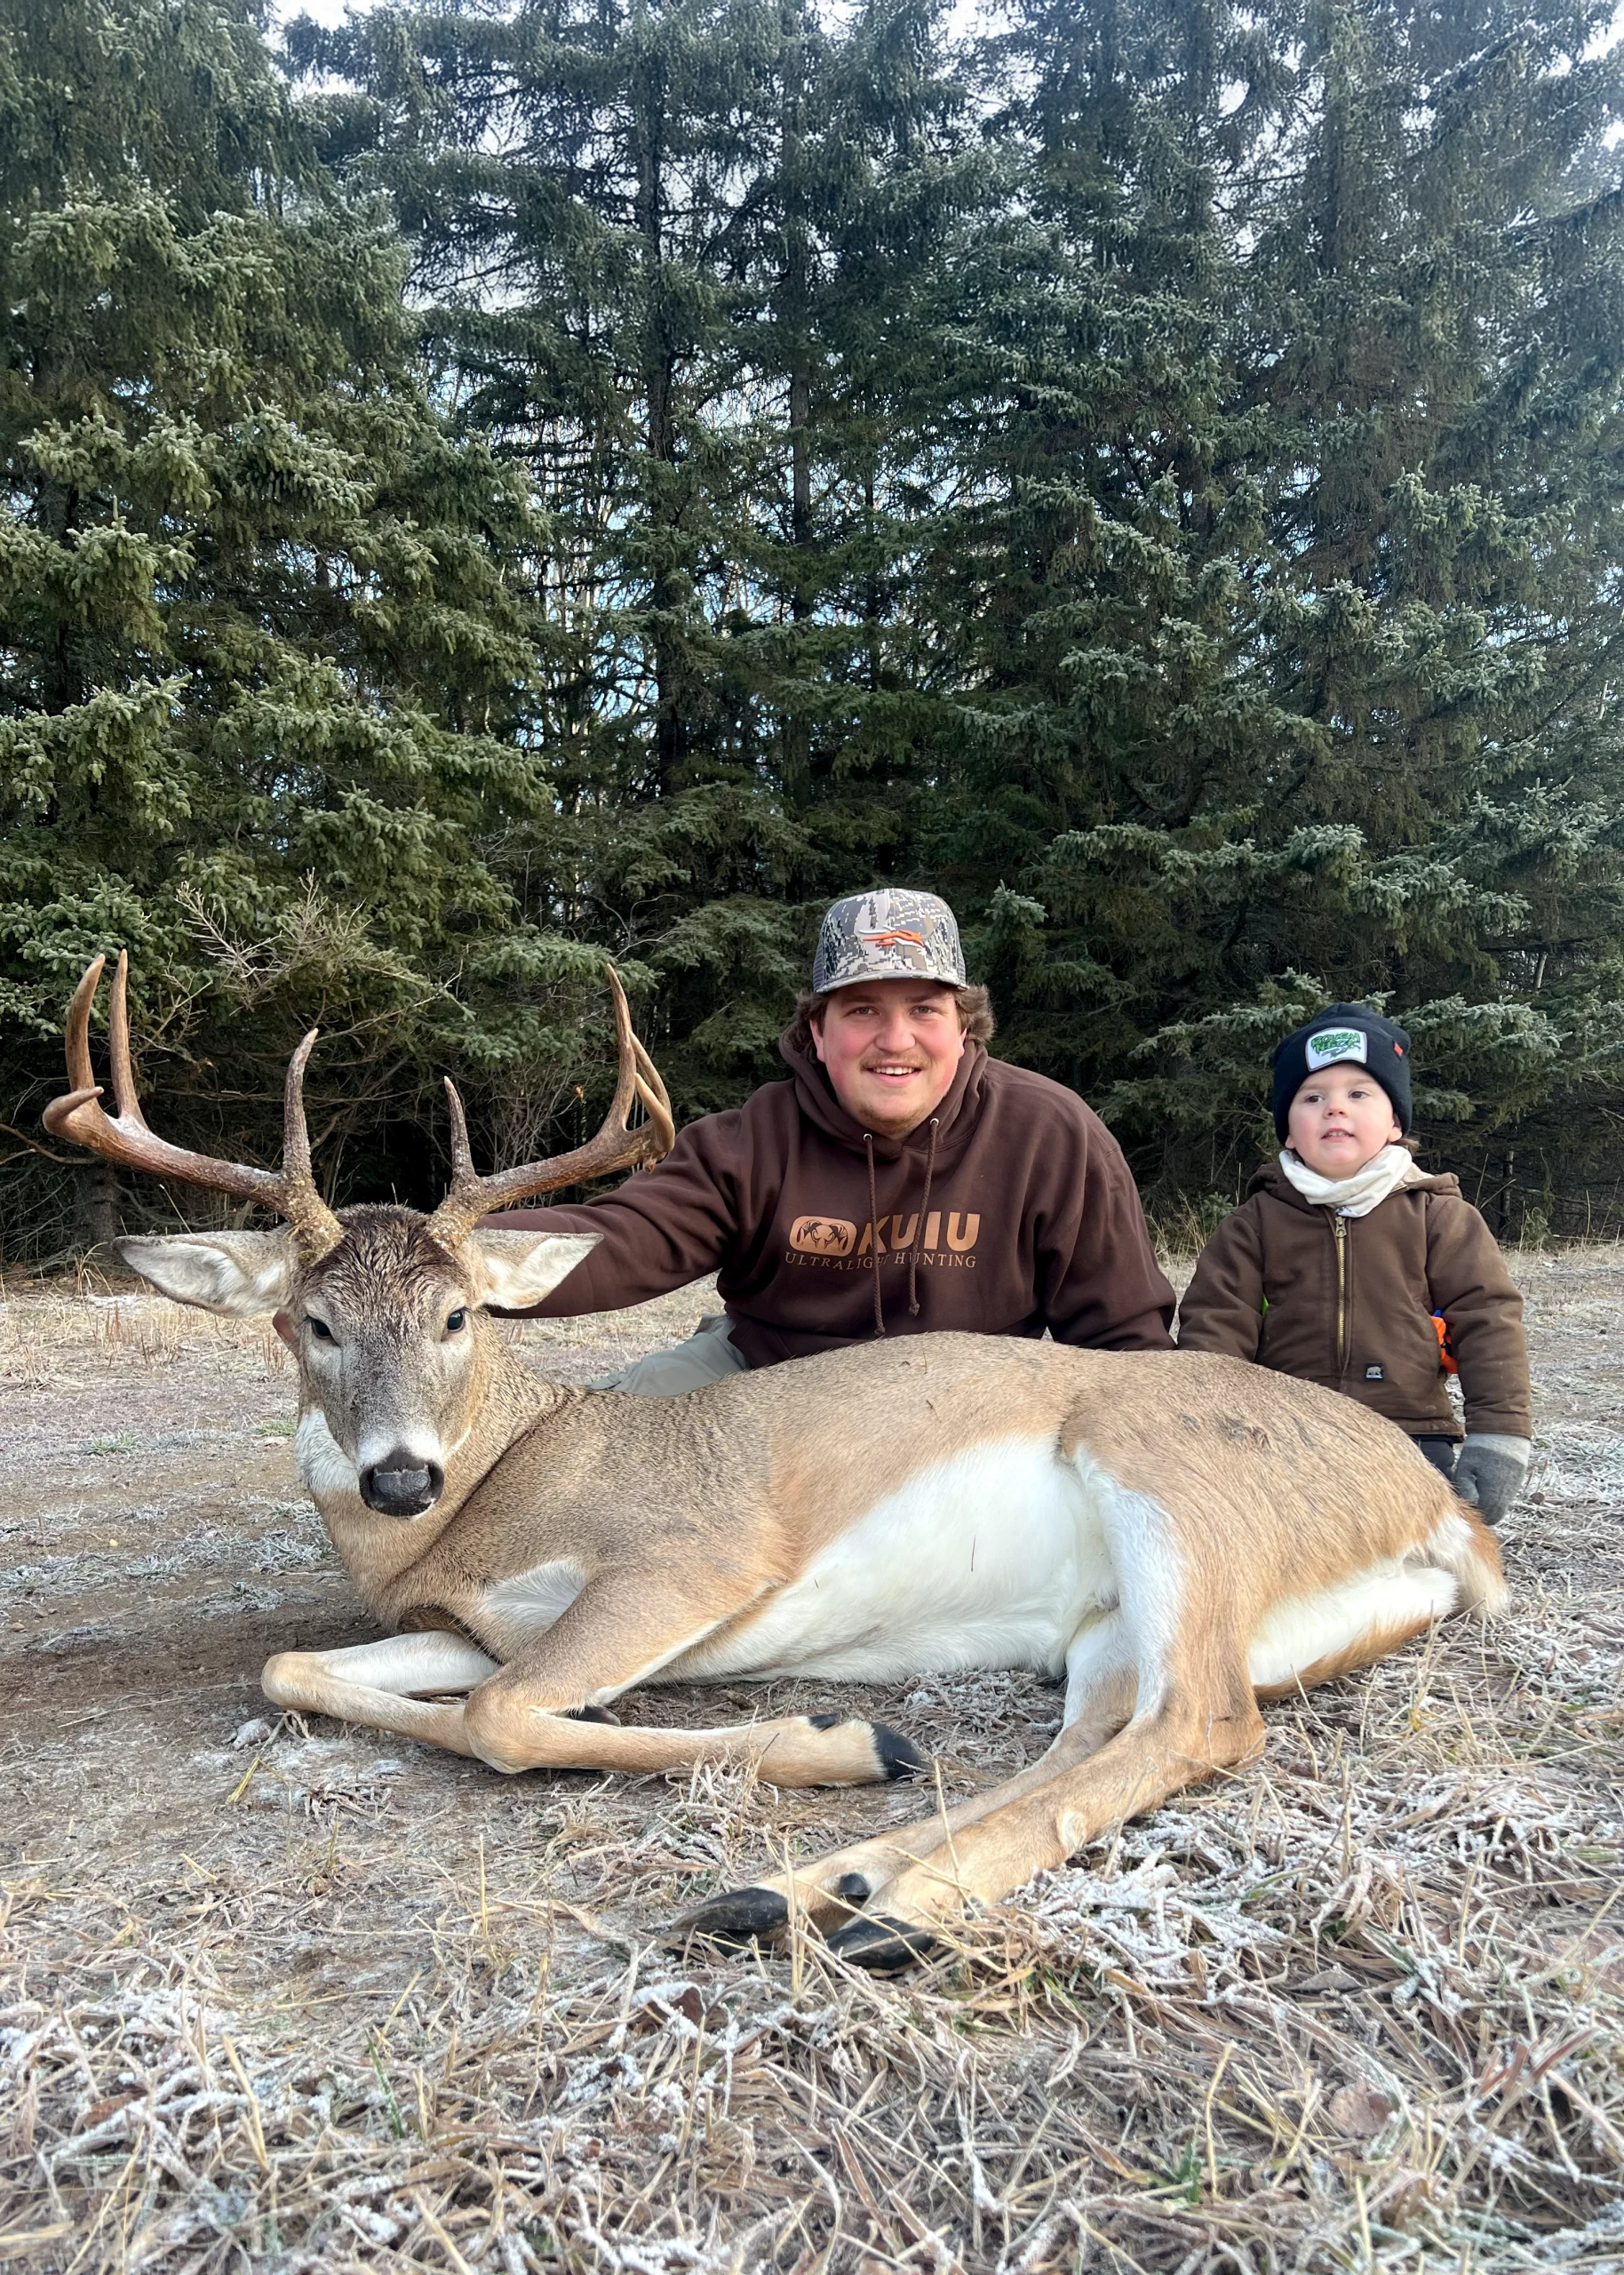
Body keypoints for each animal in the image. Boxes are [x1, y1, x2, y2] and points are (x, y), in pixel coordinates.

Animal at [46, 953, 1507, 1970]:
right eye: (311, 1321)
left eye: (461, 1315)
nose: (397, 1478)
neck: (504, 1482)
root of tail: (1446, 1513)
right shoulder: (469, 1623)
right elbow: (303, 1670)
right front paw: (847, 1749)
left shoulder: (688, 1555)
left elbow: (501, 1716)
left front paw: (829, 1739)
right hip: (1128, 1618)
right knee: (1112, 1725)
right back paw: (812, 1887)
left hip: (1173, 1484)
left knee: (1204, 1721)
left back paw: (891, 1898)